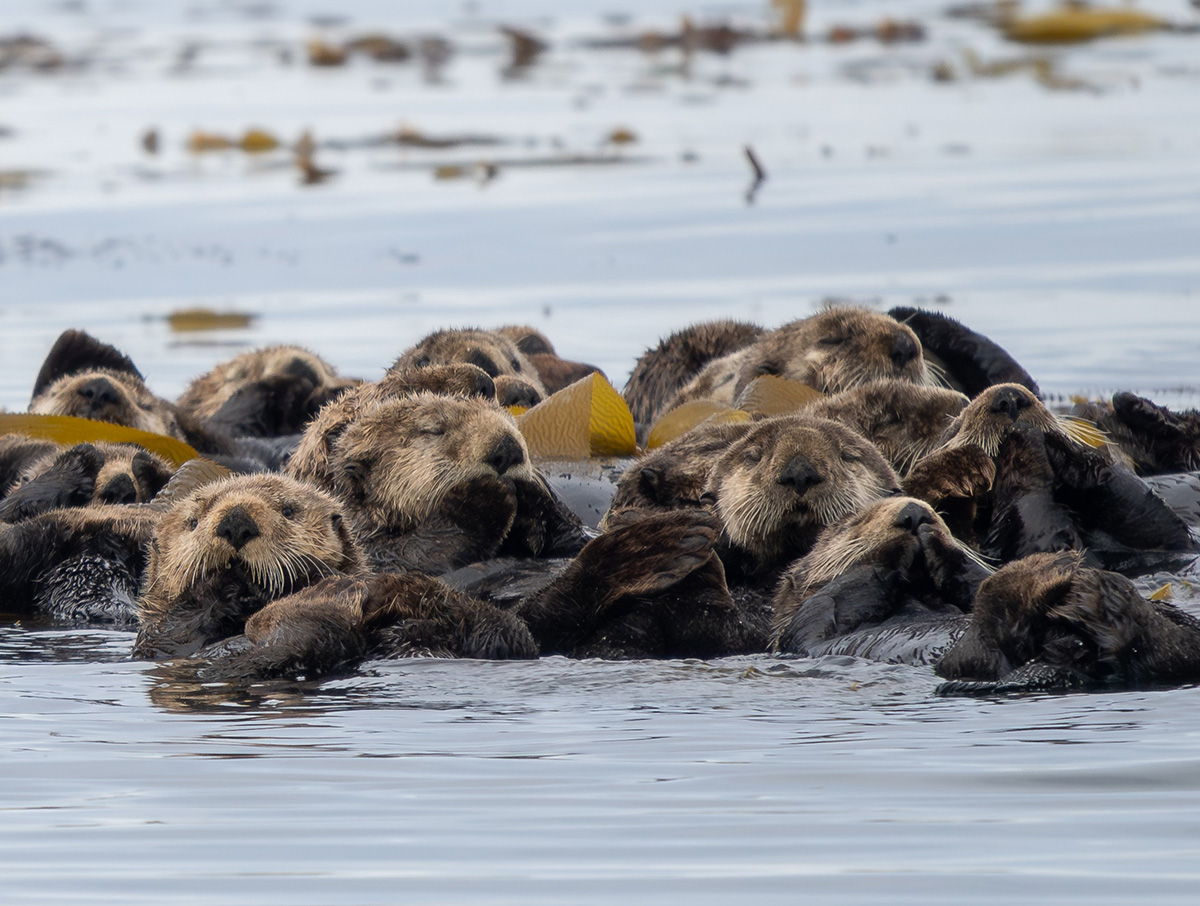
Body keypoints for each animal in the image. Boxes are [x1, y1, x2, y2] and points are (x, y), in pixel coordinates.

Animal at [771, 497, 990, 662]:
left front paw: (940, 542)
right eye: (853, 524)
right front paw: (894, 549)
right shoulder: (805, 632)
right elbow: (827, 600)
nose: (915, 511)